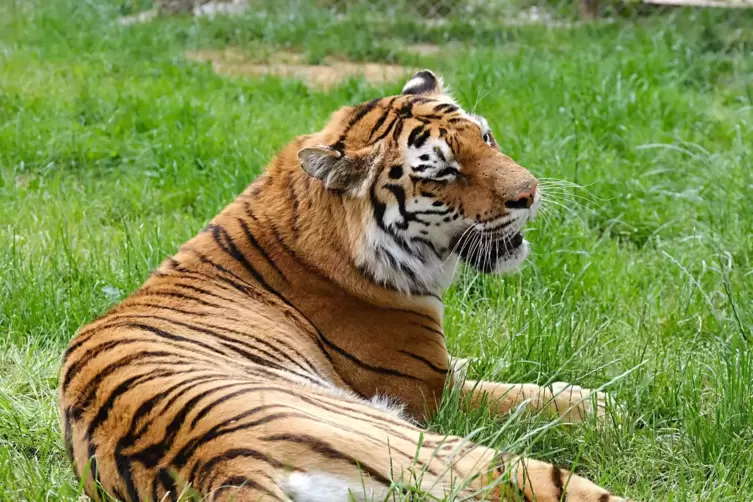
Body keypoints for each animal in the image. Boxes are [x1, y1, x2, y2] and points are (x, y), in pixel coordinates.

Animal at [58, 70, 624, 502]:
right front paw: (596, 405)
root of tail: (219, 464)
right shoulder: (431, 390)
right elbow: (514, 397)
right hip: (428, 444)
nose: (529, 194)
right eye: (442, 173)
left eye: (485, 138)